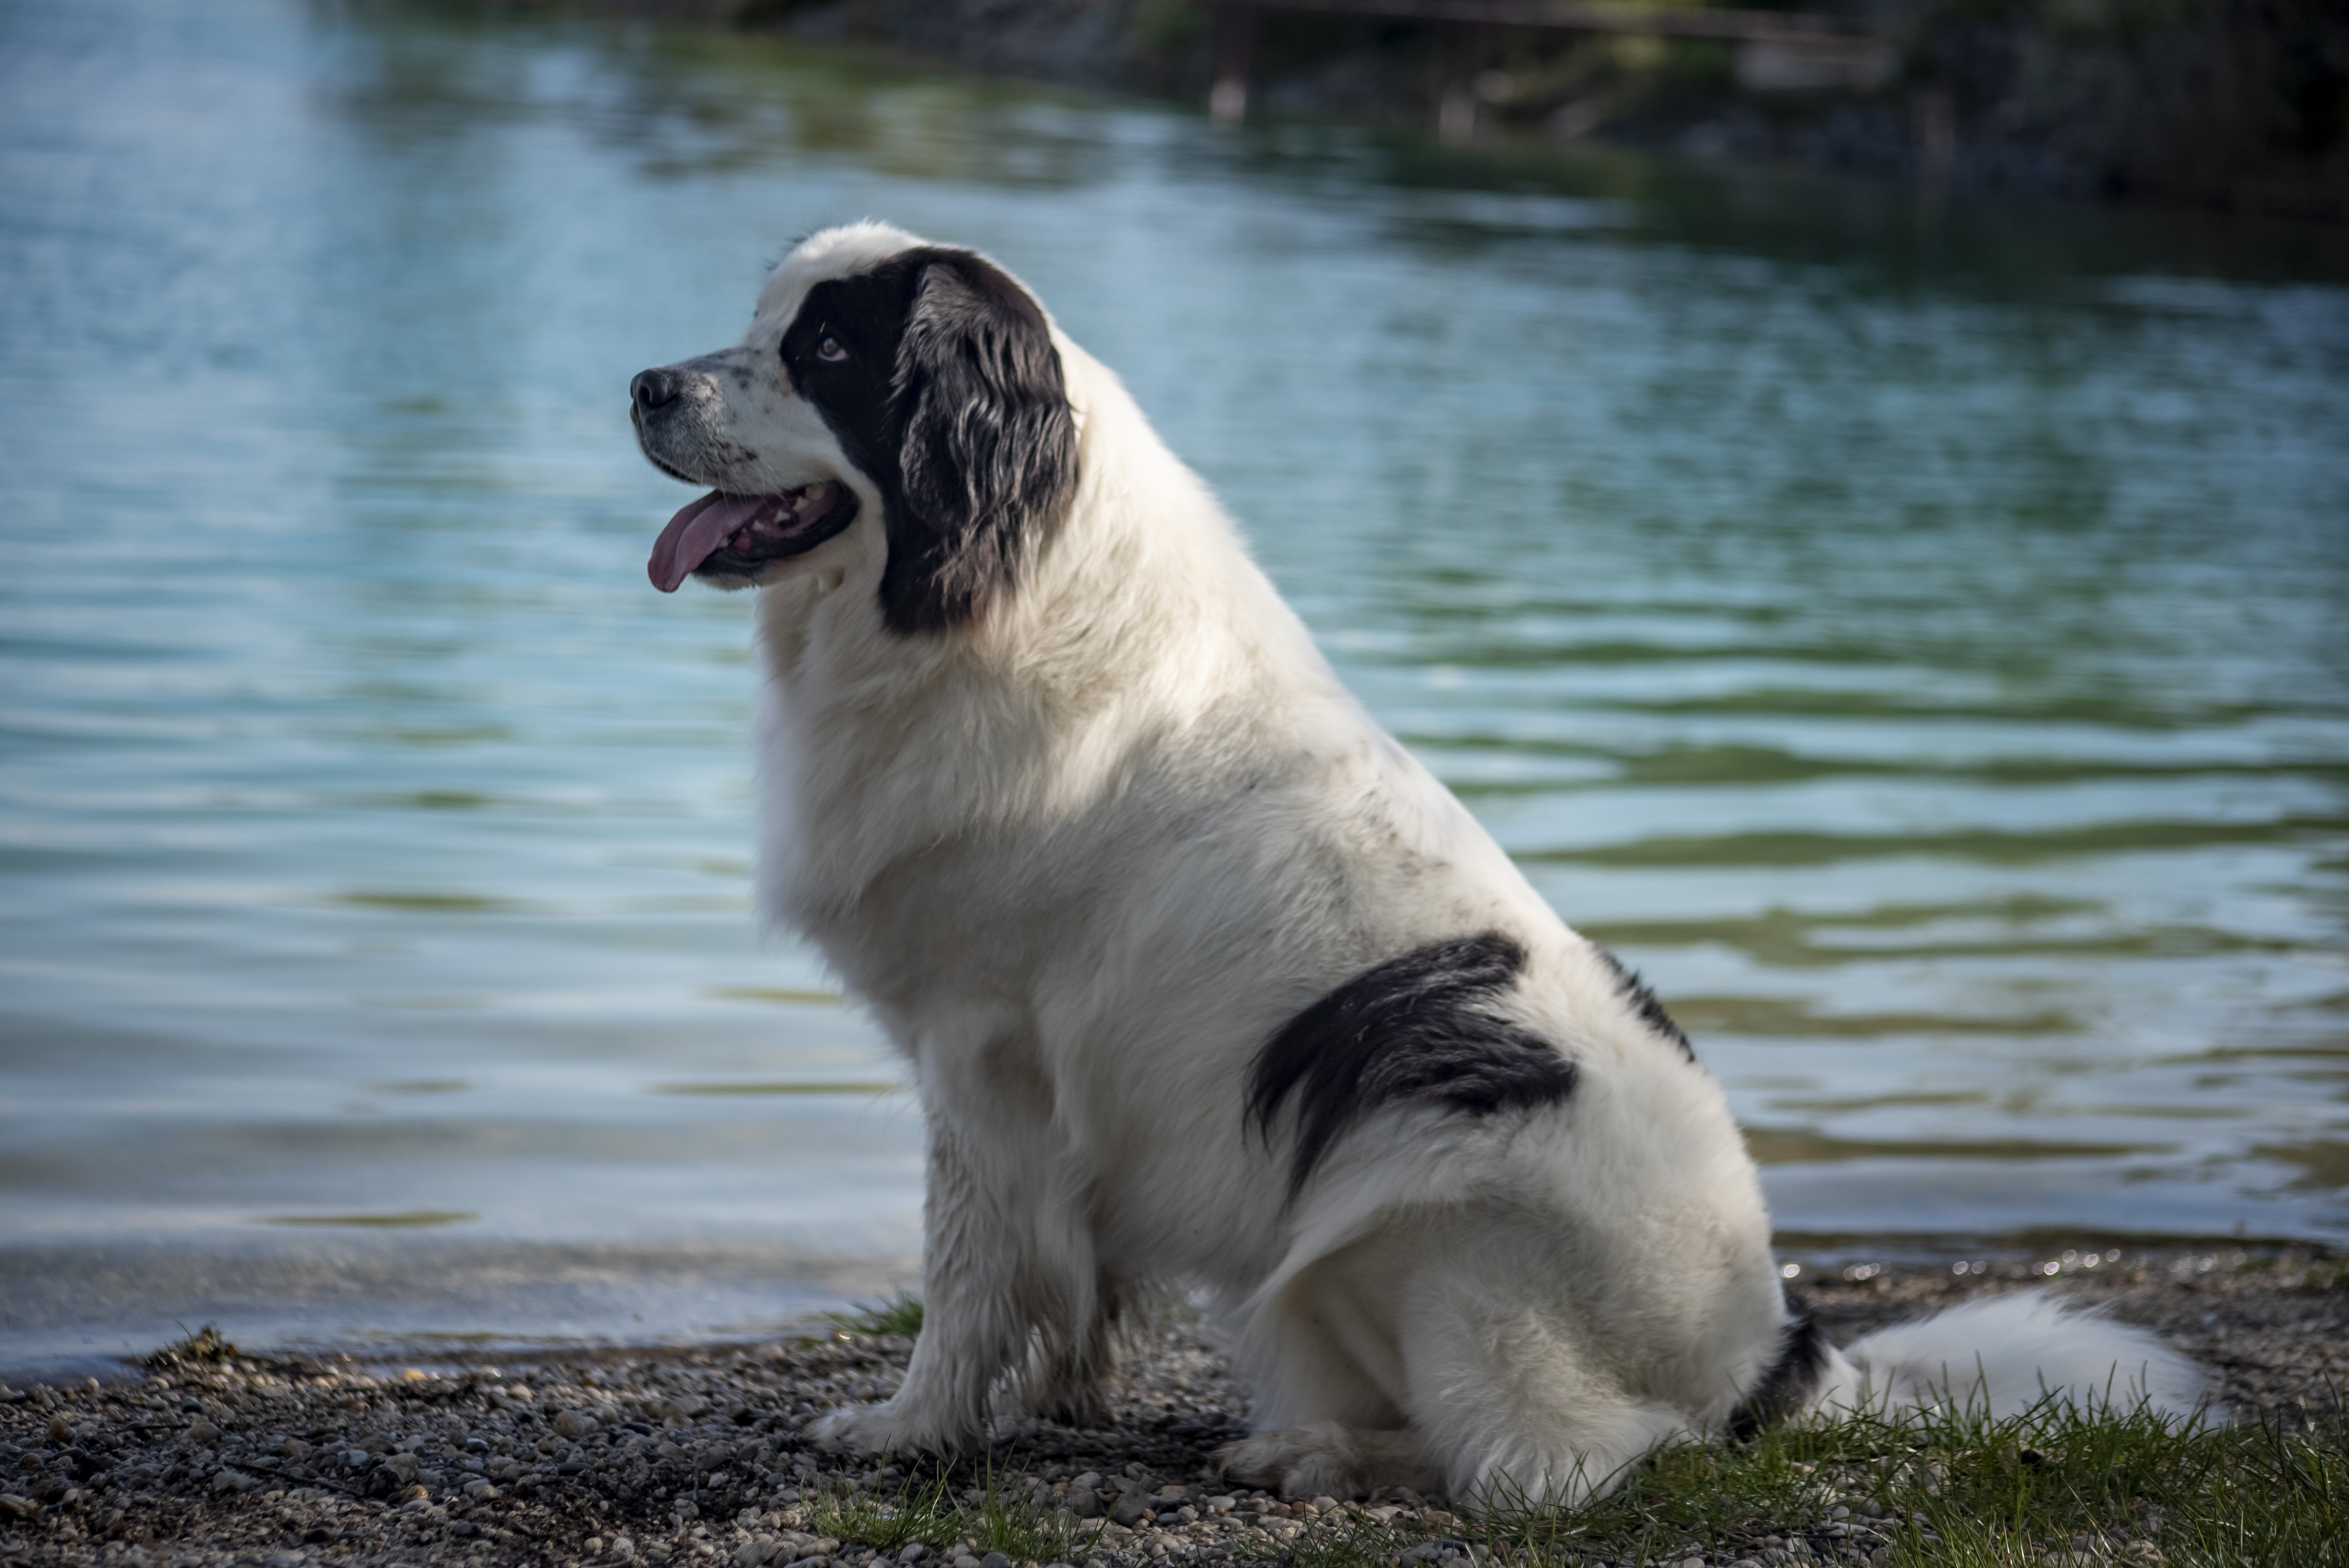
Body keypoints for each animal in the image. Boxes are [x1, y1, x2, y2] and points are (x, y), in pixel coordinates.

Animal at [634, 221, 2208, 1502]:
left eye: (825, 353)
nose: (645, 383)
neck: (987, 580)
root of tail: (1777, 1358)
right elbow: (1075, 1265)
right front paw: (1064, 1394)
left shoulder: (979, 1050)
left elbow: (967, 1269)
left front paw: (910, 1430)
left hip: (1416, 1194)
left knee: (1561, 1463)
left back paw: (1313, 1453)